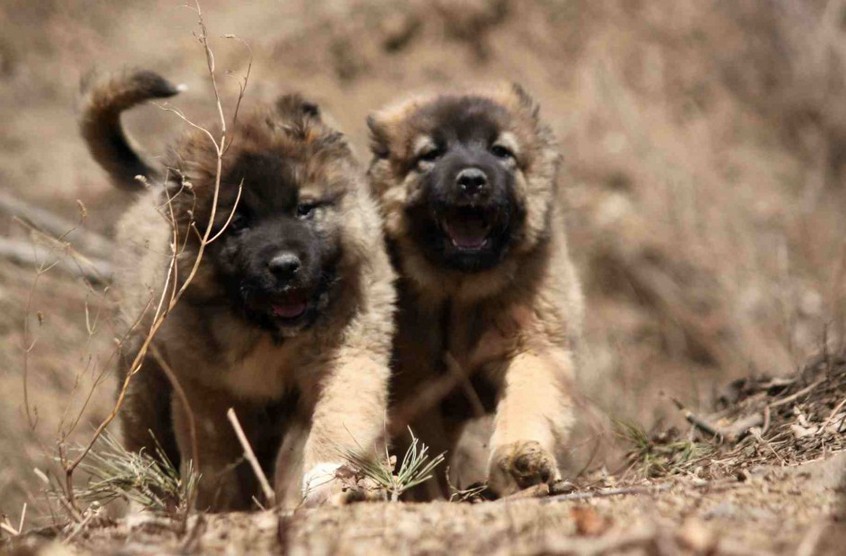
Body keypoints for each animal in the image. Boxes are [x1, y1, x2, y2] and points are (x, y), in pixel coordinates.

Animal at [79, 70, 398, 512]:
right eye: (238, 223)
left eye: (304, 209)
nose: (284, 266)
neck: (268, 334)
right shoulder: (206, 391)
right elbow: (216, 463)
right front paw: (217, 509)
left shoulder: (346, 354)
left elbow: (338, 421)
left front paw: (325, 482)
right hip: (140, 377)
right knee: (143, 449)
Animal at [368, 84, 588, 498]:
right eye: (431, 155)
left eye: (501, 151)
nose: (471, 180)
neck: (462, 290)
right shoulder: (415, 382)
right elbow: (423, 444)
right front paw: (430, 493)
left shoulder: (533, 346)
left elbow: (528, 402)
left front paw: (521, 460)